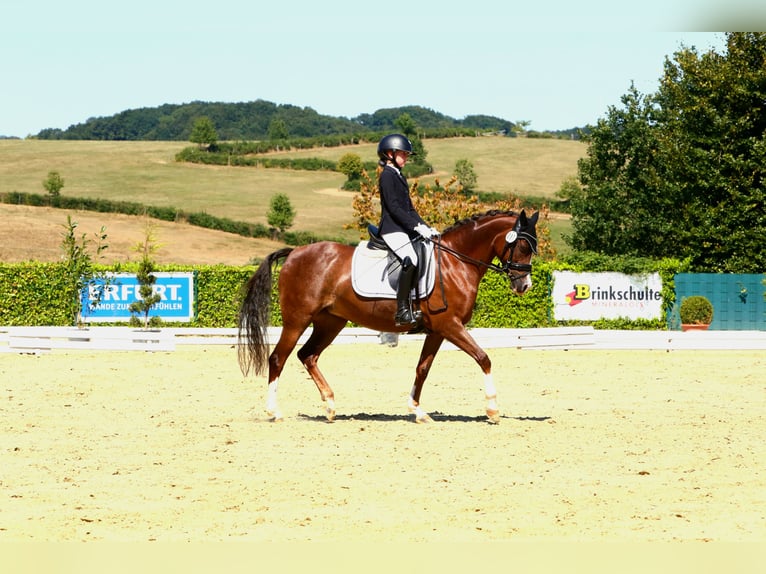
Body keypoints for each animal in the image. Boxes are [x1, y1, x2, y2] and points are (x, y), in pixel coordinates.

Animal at [237, 209, 544, 426]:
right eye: (523, 247)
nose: (524, 286)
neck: (456, 262)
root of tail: (294, 252)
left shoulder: (438, 330)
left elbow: (422, 369)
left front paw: (417, 411)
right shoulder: (450, 325)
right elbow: (484, 358)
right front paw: (492, 409)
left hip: (330, 322)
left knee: (308, 355)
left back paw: (331, 406)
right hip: (297, 320)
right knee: (278, 358)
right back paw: (274, 412)